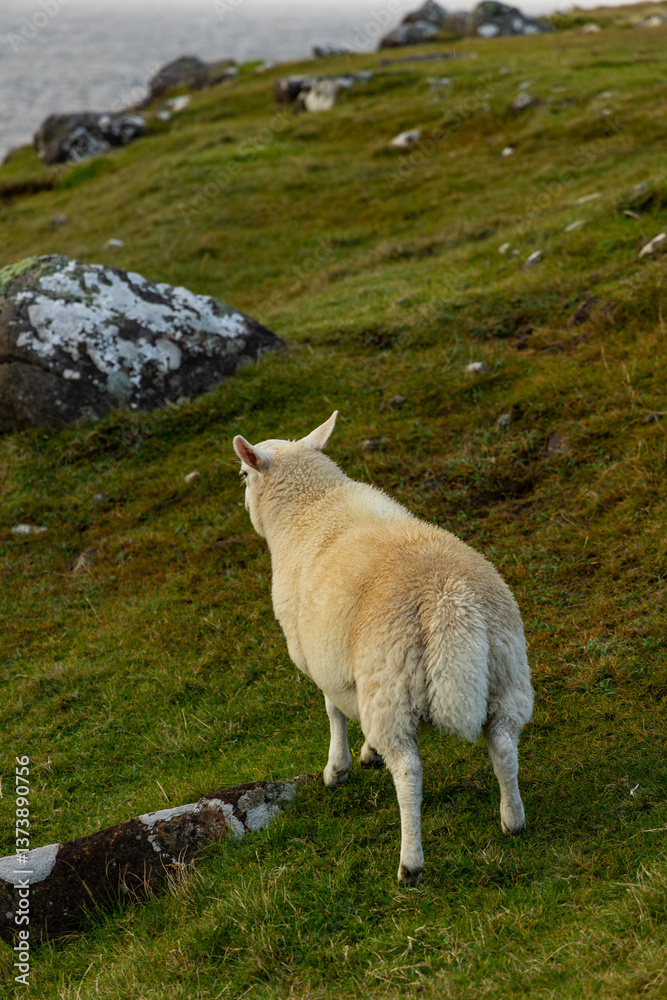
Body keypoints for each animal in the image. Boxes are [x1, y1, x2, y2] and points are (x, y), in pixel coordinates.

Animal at [233, 412, 533, 885]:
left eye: (244, 474)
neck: (311, 506)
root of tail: (449, 603)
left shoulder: (324, 660)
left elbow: (334, 710)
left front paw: (339, 768)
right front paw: (364, 753)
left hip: (390, 680)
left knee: (409, 770)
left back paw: (410, 863)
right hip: (506, 671)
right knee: (503, 745)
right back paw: (513, 820)